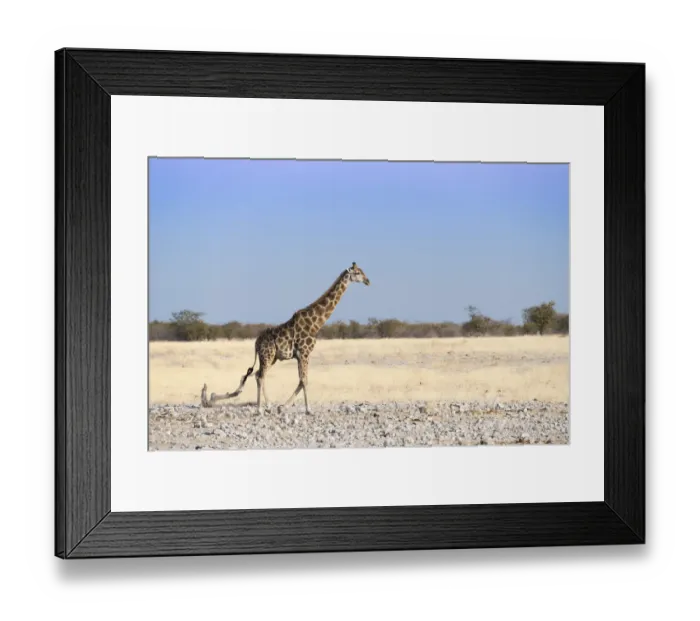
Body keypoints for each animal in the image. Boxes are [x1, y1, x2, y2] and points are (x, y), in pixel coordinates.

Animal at [201, 262, 370, 415]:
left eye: (362, 271)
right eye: (357, 273)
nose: (368, 281)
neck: (315, 324)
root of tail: (256, 343)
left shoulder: (300, 355)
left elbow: (301, 380)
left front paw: (282, 407)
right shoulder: (304, 353)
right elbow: (304, 380)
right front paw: (308, 410)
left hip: (271, 358)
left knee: (257, 375)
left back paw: (267, 406)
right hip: (267, 356)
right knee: (260, 376)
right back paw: (261, 408)